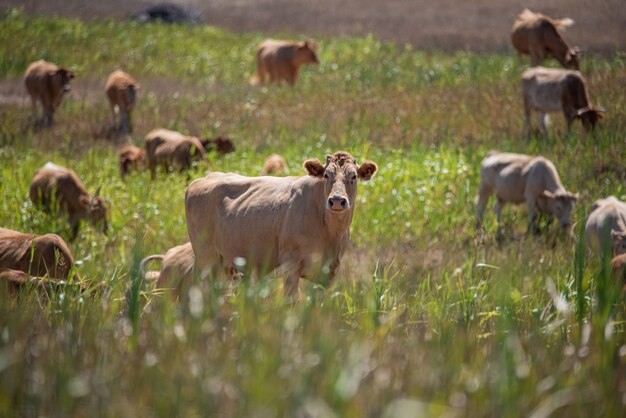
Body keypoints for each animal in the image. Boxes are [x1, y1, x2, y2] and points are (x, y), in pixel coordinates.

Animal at [184, 152, 376, 296]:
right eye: (326, 175)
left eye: (354, 176)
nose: (336, 200)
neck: (330, 232)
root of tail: (202, 179)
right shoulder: (291, 265)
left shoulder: (328, 270)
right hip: (205, 256)